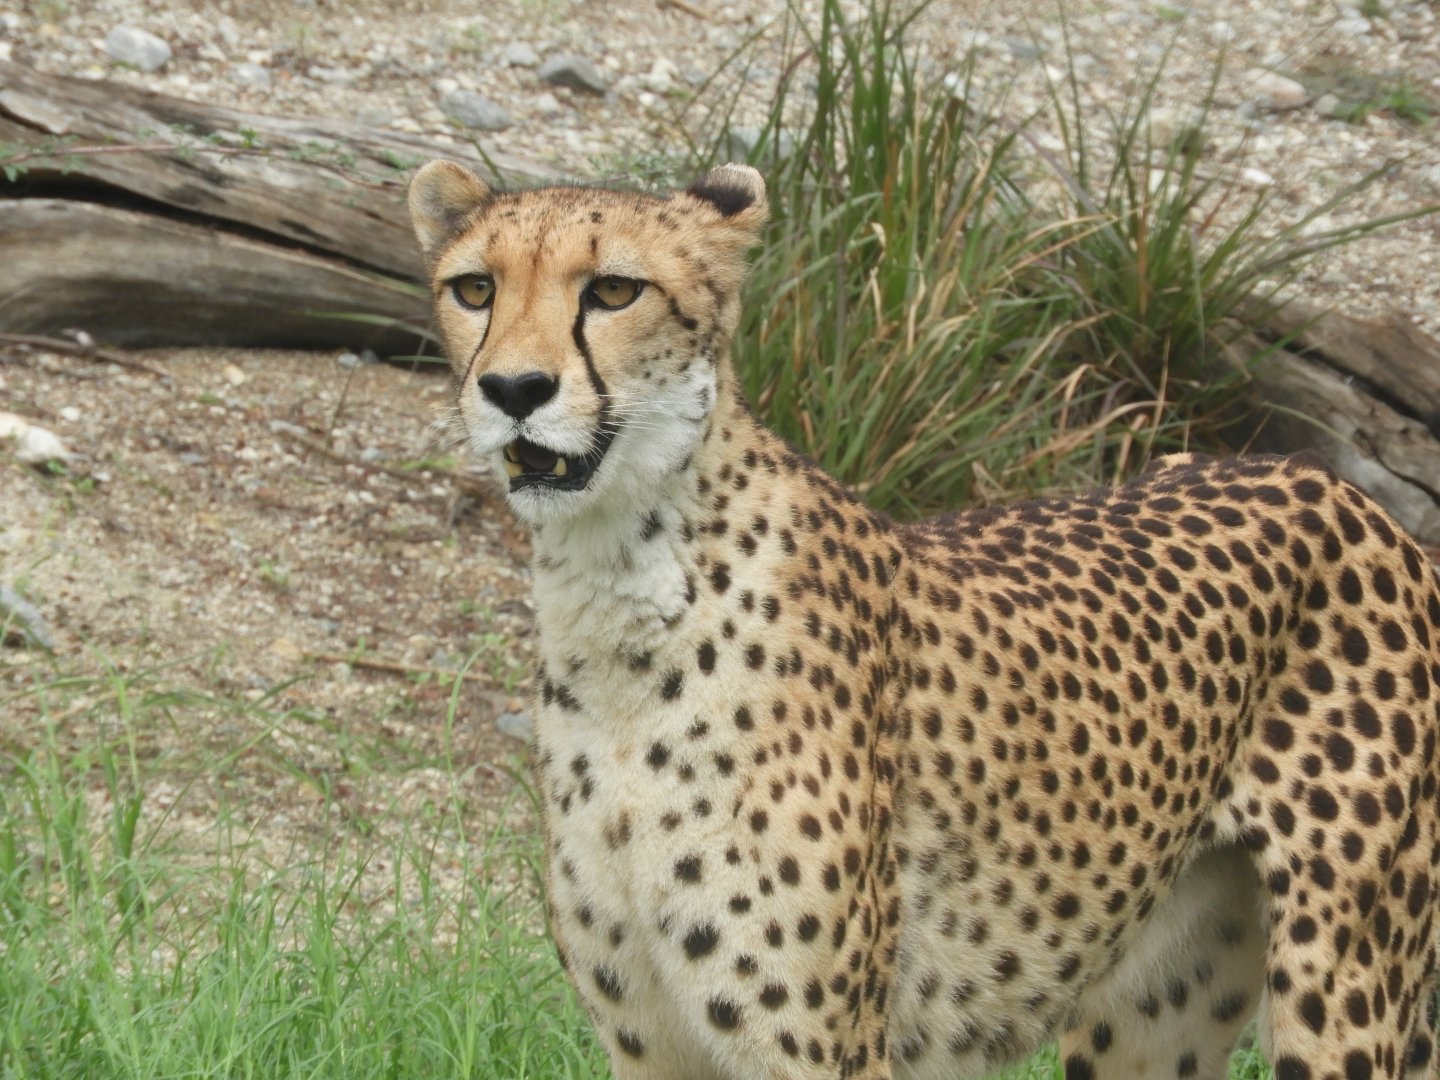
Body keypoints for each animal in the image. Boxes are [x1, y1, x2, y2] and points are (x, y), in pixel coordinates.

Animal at [407, 158, 1440, 1080]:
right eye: (475, 288)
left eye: (615, 290)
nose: (514, 391)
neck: (622, 587)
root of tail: (1326, 481)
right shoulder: (652, 1048)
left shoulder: (820, 1054)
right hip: (1156, 1006)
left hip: (1344, 983)